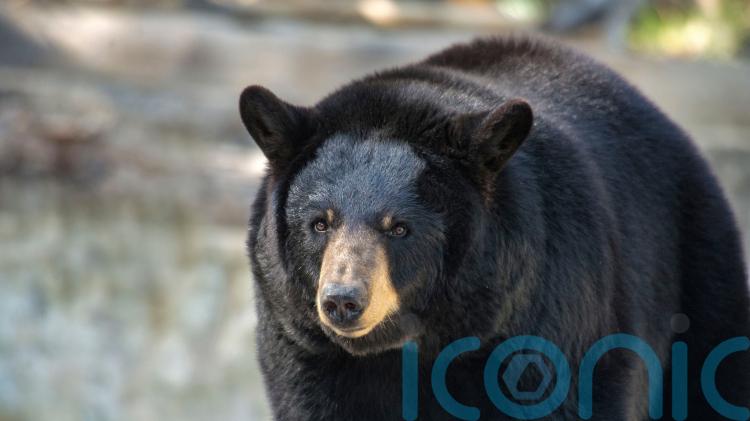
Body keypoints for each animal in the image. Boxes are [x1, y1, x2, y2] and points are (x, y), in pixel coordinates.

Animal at [239, 36, 750, 420]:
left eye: (399, 228)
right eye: (320, 223)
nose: (343, 301)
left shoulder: (550, 316)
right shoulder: (302, 345)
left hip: (697, 270)